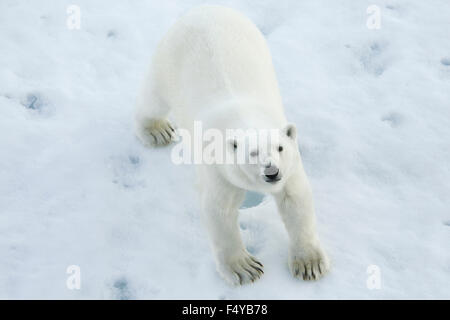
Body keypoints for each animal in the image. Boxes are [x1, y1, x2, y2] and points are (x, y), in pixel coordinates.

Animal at [135, 5, 328, 284]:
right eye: (252, 153)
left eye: (280, 148)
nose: (272, 172)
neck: (244, 116)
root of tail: (203, 10)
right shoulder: (218, 167)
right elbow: (219, 210)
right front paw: (245, 268)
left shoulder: (291, 166)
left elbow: (295, 199)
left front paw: (310, 264)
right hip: (168, 61)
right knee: (153, 99)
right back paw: (156, 130)